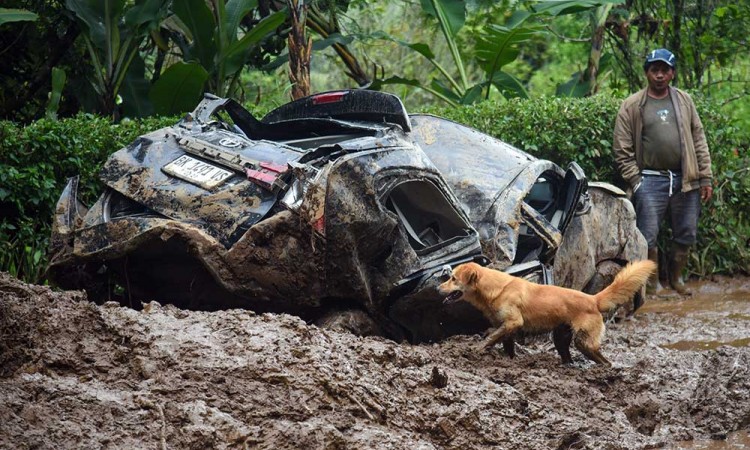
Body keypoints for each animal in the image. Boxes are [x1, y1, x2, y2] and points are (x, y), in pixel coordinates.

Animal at [438, 260, 656, 366]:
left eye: (453, 278)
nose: (438, 288)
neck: (493, 288)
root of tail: (593, 299)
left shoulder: (514, 322)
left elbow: (490, 337)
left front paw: (476, 349)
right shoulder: (506, 327)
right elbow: (505, 344)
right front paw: (508, 361)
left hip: (584, 341)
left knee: (605, 361)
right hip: (561, 336)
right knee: (567, 355)